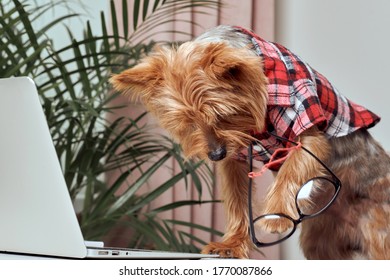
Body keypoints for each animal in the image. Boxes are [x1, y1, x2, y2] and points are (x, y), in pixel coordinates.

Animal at [109, 25, 390, 260]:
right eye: (188, 123)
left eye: (223, 115)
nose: (215, 154)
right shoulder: (235, 159)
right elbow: (237, 199)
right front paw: (231, 244)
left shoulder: (306, 125)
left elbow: (291, 169)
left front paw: (277, 217)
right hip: (322, 241)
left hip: (377, 229)